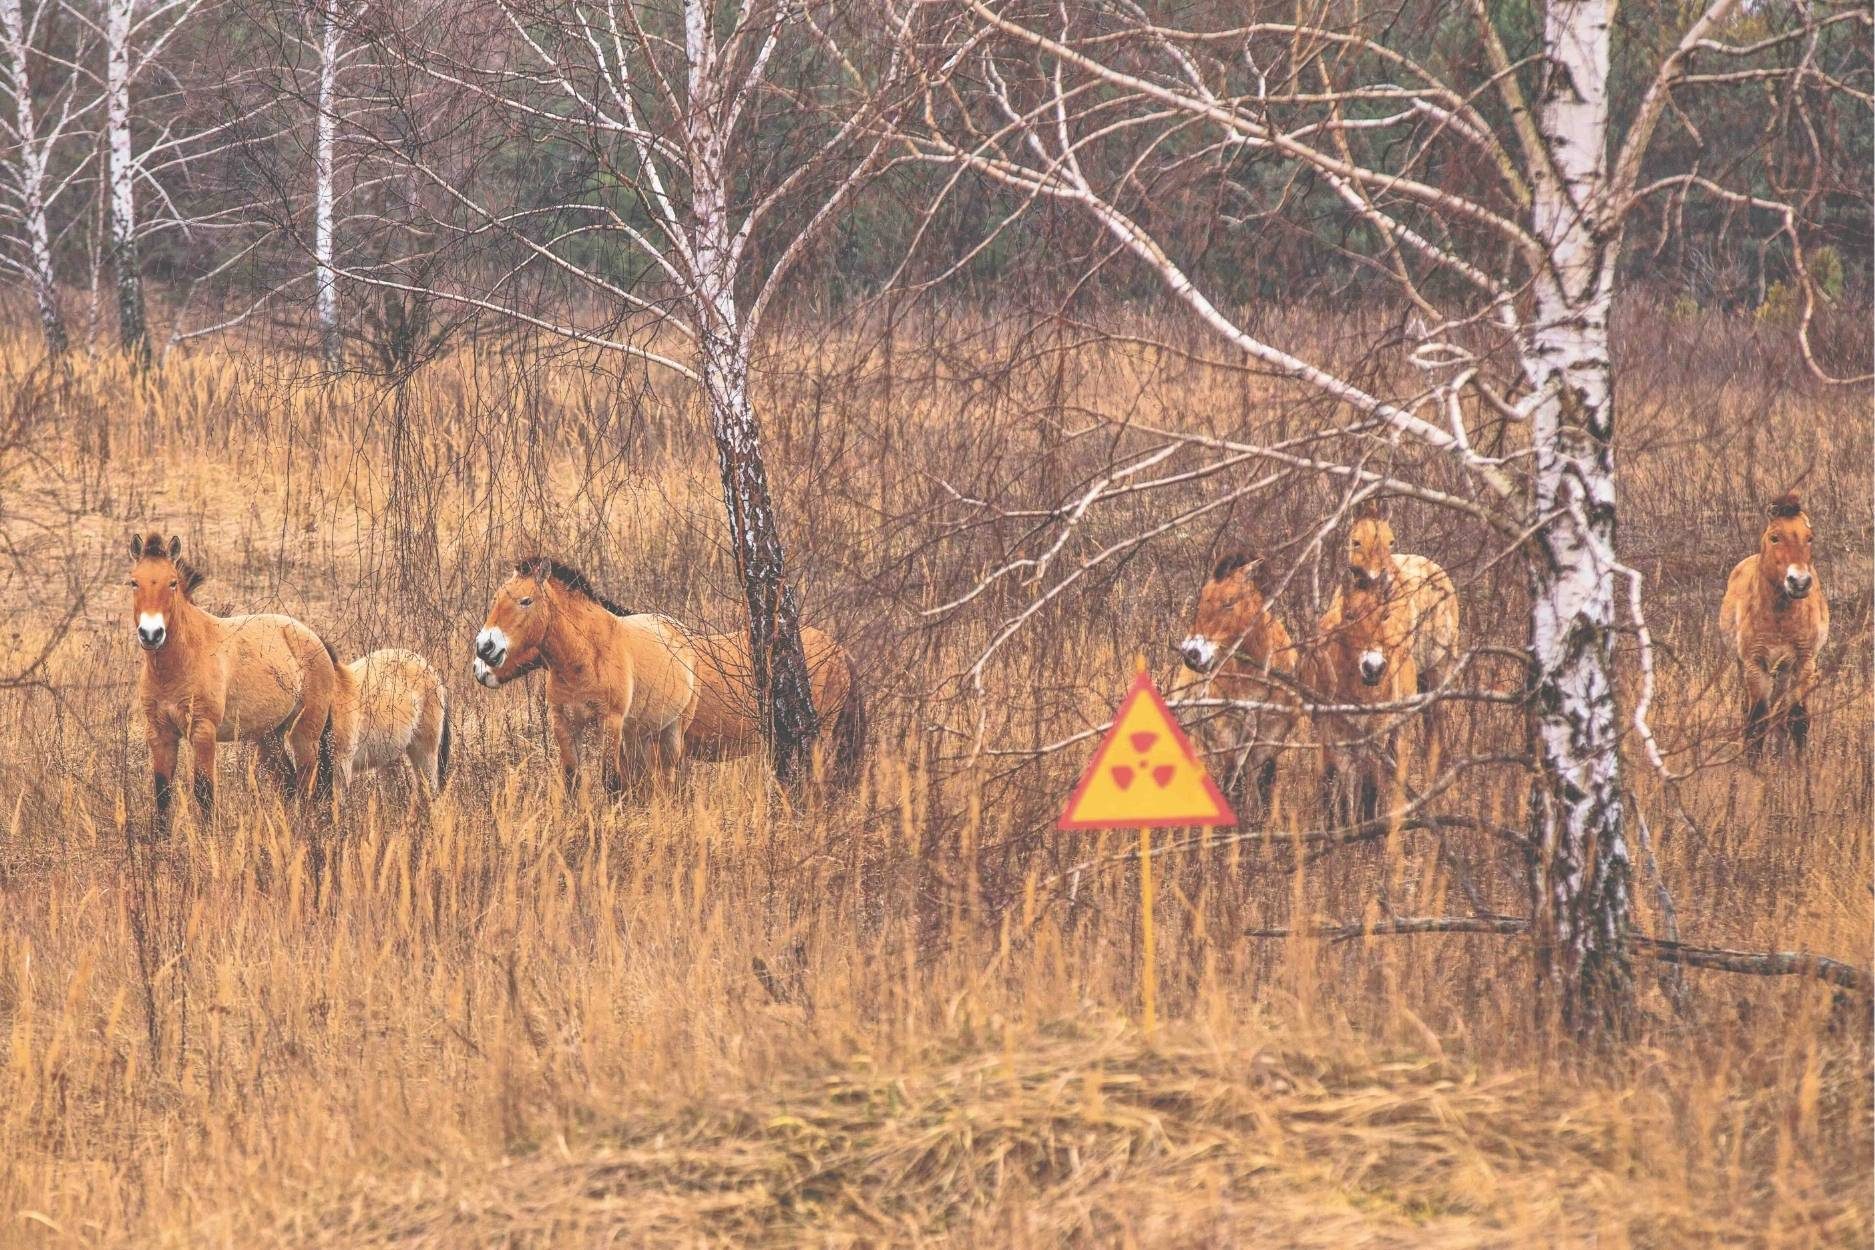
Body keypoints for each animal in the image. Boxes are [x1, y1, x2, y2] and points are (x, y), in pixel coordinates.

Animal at [127, 532, 339, 831]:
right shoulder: (160, 733)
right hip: (267, 737)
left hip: (305, 733)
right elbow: (162, 792)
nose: (151, 634)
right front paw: (160, 841)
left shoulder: (203, 732)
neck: (178, 664)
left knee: (307, 782)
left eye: (172, 583)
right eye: (134, 582)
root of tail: (315, 639)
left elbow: (204, 791)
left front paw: (208, 838)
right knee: (288, 783)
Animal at [473, 557, 697, 794]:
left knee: (668, 775)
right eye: (496, 598)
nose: (484, 648)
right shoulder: (564, 723)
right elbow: (571, 779)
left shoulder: (610, 722)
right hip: (637, 734)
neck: (584, 657)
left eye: (526, 601)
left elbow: (611, 781)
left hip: (673, 731)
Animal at [1175, 551, 1304, 815]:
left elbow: (1258, 779)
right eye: (1202, 599)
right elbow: (1232, 776)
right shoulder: (1227, 727)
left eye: (1228, 602)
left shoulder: (1271, 732)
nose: (1191, 654)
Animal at [1306, 575, 1418, 825]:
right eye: (1350, 615)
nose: (1373, 668)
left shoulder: (1377, 735)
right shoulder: (1332, 736)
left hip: (1400, 733)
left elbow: (1371, 788)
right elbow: (1335, 790)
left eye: (1384, 614)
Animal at [1719, 492, 1829, 757]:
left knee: (1781, 714)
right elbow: (1756, 723)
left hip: (1784, 670)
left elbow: (1798, 720)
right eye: (1775, 537)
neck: (1780, 617)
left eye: (1809, 538)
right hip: (1746, 665)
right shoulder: (1755, 665)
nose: (1799, 582)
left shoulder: (1803, 663)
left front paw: (1800, 765)